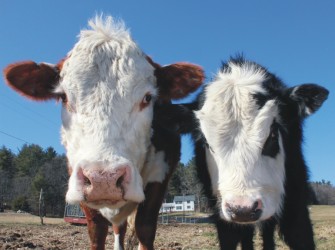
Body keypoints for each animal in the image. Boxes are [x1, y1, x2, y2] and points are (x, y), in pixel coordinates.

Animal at [3, 16, 205, 250]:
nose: (103, 180)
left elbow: (145, 228)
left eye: (148, 98)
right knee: (119, 227)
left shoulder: (161, 174)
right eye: (63, 97)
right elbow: (97, 230)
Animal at [161, 57, 330, 250]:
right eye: (205, 142)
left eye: (272, 135)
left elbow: (299, 235)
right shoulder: (223, 218)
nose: (242, 209)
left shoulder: (296, 200)